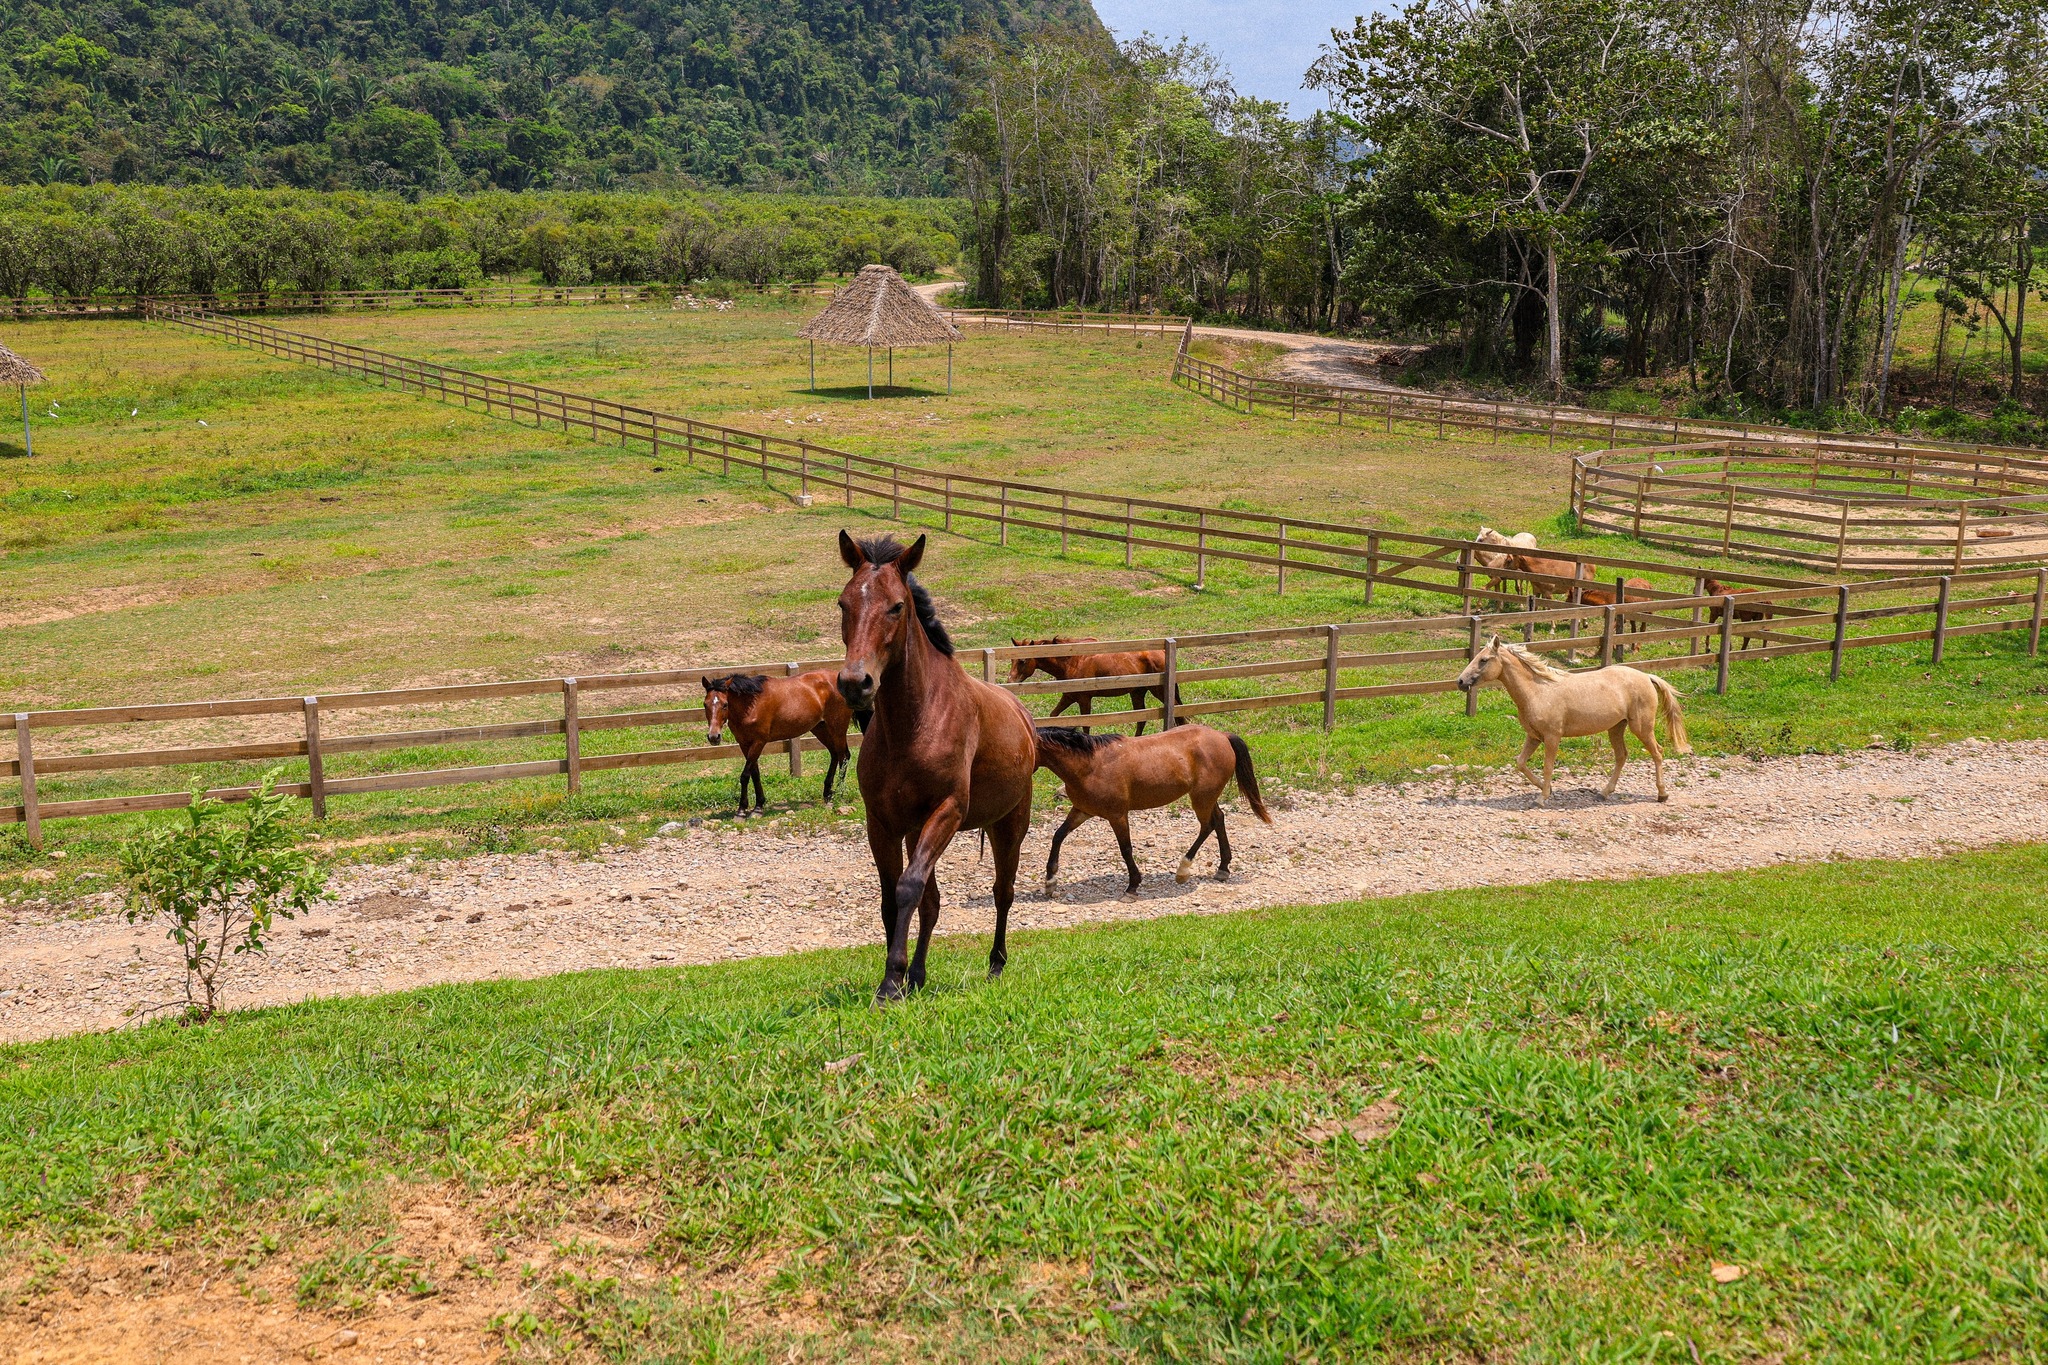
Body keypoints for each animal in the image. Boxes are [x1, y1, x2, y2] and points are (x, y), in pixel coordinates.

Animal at [704, 671, 856, 818]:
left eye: (725, 704)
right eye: (705, 704)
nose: (714, 736)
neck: (751, 705)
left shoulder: (758, 742)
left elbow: (745, 775)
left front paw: (741, 810)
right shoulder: (744, 744)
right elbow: (755, 773)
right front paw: (758, 806)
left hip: (838, 728)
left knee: (844, 757)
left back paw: (840, 793)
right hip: (820, 728)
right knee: (835, 754)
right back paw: (828, 793)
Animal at [835, 532, 1040, 1002]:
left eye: (896, 606)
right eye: (843, 604)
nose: (856, 684)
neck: (915, 722)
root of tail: (1023, 717)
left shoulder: (947, 812)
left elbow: (908, 888)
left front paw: (891, 981)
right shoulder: (884, 823)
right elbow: (893, 898)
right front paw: (899, 978)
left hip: (1009, 825)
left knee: (1003, 892)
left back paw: (995, 965)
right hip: (918, 832)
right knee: (932, 903)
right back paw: (919, 975)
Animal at [1011, 634, 1187, 732]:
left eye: (1022, 661)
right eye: (1012, 660)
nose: (1010, 681)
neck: (1073, 661)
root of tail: (1162, 651)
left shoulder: (1084, 699)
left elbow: (1086, 725)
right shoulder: (1069, 696)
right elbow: (1053, 716)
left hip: (1158, 691)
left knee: (1178, 713)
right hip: (1137, 693)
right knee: (1141, 719)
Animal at [1032, 720, 1269, 900]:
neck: (1090, 766)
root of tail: (1223, 736)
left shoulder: (1117, 815)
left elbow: (1126, 849)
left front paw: (1132, 887)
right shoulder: (1082, 810)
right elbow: (1058, 836)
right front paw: (1050, 882)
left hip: (1202, 798)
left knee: (1207, 825)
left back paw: (1183, 870)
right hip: (1207, 797)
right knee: (1219, 819)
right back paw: (1223, 869)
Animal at [1458, 638, 1695, 806]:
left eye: (1483, 660)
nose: (1460, 681)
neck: (1538, 690)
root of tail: (1647, 676)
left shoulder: (1552, 737)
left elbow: (1547, 767)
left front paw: (1542, 798)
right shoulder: (1534, 737)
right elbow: (1521, 763)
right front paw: (1548, 790)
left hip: (1642, 727)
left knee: (1658, 752)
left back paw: (1662, 794)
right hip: (1616, 727)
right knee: (1622, 756)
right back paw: (1603, 793)